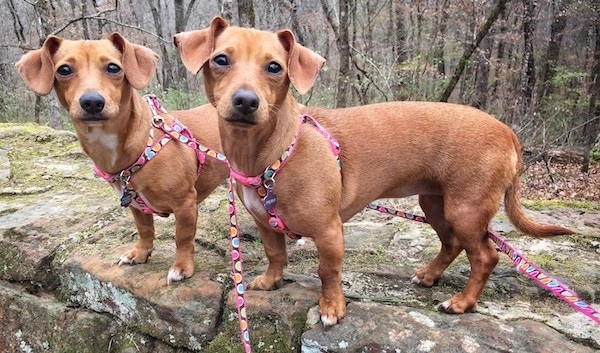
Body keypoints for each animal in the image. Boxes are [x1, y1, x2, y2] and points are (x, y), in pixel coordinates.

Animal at [16, 33, 229, 284]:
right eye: (64, 70)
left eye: (113, 67)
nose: (92, 102)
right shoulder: (134, 204)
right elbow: (145, 229)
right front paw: (140, 253)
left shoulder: (185, 204)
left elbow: (183, 238)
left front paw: (182, 267)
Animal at [172, 16, 572, 324]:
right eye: (221, 59)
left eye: (275, 67)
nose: (245, 101)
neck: (268, 154)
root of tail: (508, 131)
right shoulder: (265, 223)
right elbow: (276, 255)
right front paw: (271, 282)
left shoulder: (329, 232)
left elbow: (328, 272)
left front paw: (332, 308)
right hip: (435, 204)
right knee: (452, 244)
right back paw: (429, 275)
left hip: (466, 210)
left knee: (486, 256)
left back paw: (462, 302)